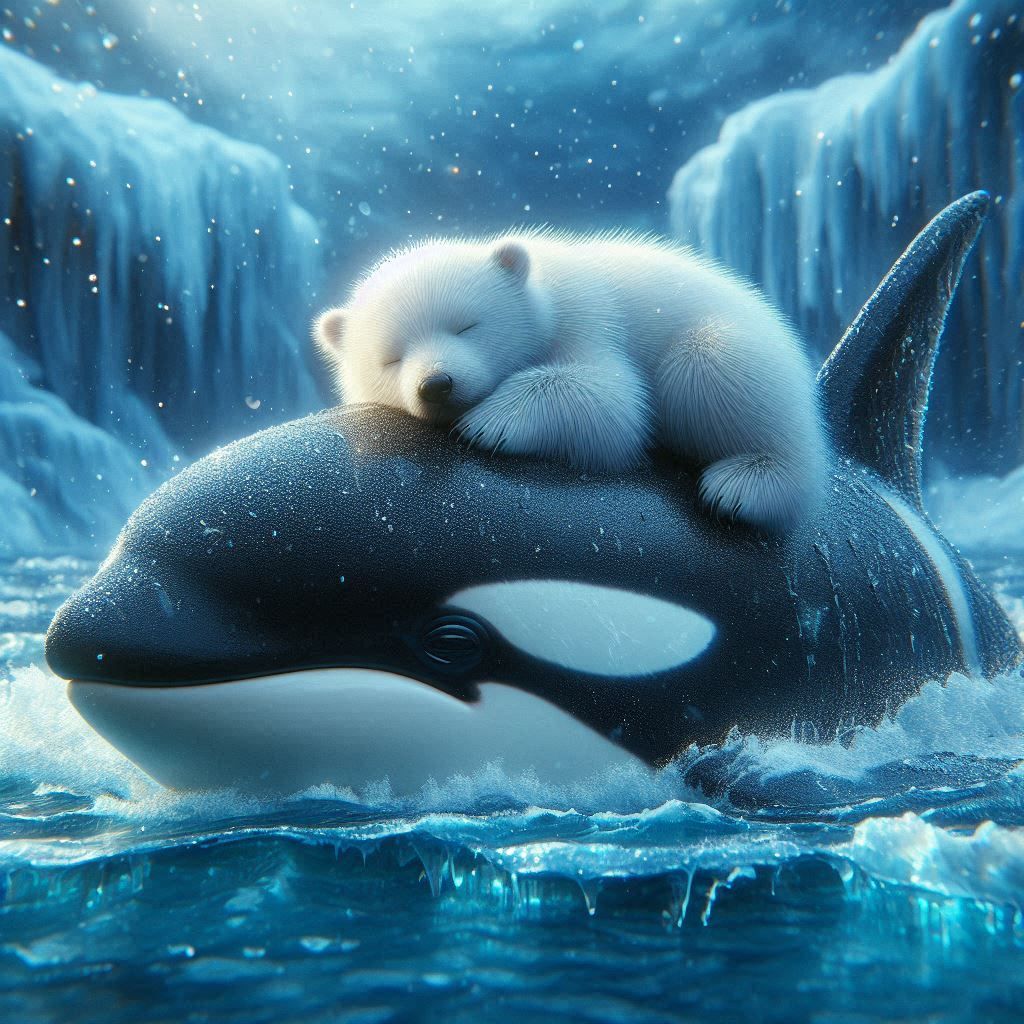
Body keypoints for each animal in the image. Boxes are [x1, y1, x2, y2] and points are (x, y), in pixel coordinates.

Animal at [314, 232, 827, 532]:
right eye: (390, 359)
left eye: (467, 325)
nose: (436, 383)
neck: (541, 285)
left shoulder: (587, 315)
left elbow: (615, 405)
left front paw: (491, 422)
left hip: (739, 351)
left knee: (709, 365)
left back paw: (743, 485)